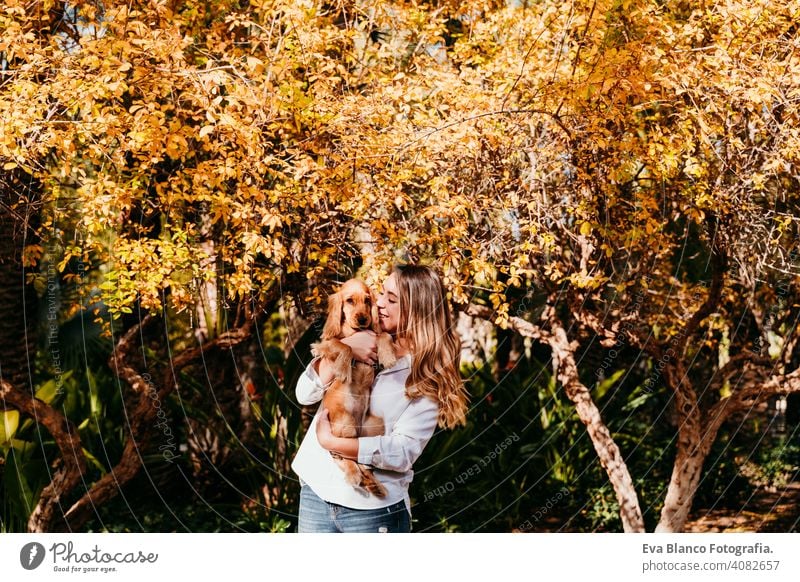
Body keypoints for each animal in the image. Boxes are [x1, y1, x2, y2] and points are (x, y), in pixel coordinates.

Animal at [310, 282, 396, 498]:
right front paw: (343, 369)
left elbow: (383, 334)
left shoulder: (376, 335)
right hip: (345, 422)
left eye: (367, 300)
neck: (355, 331)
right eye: (349, 300)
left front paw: (388, 355)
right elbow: (344, 345)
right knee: (341, 456)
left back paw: (374, 484)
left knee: (359, 457)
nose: (363, 319)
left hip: (373, 425)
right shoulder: (324, 343)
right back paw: (355, 476)